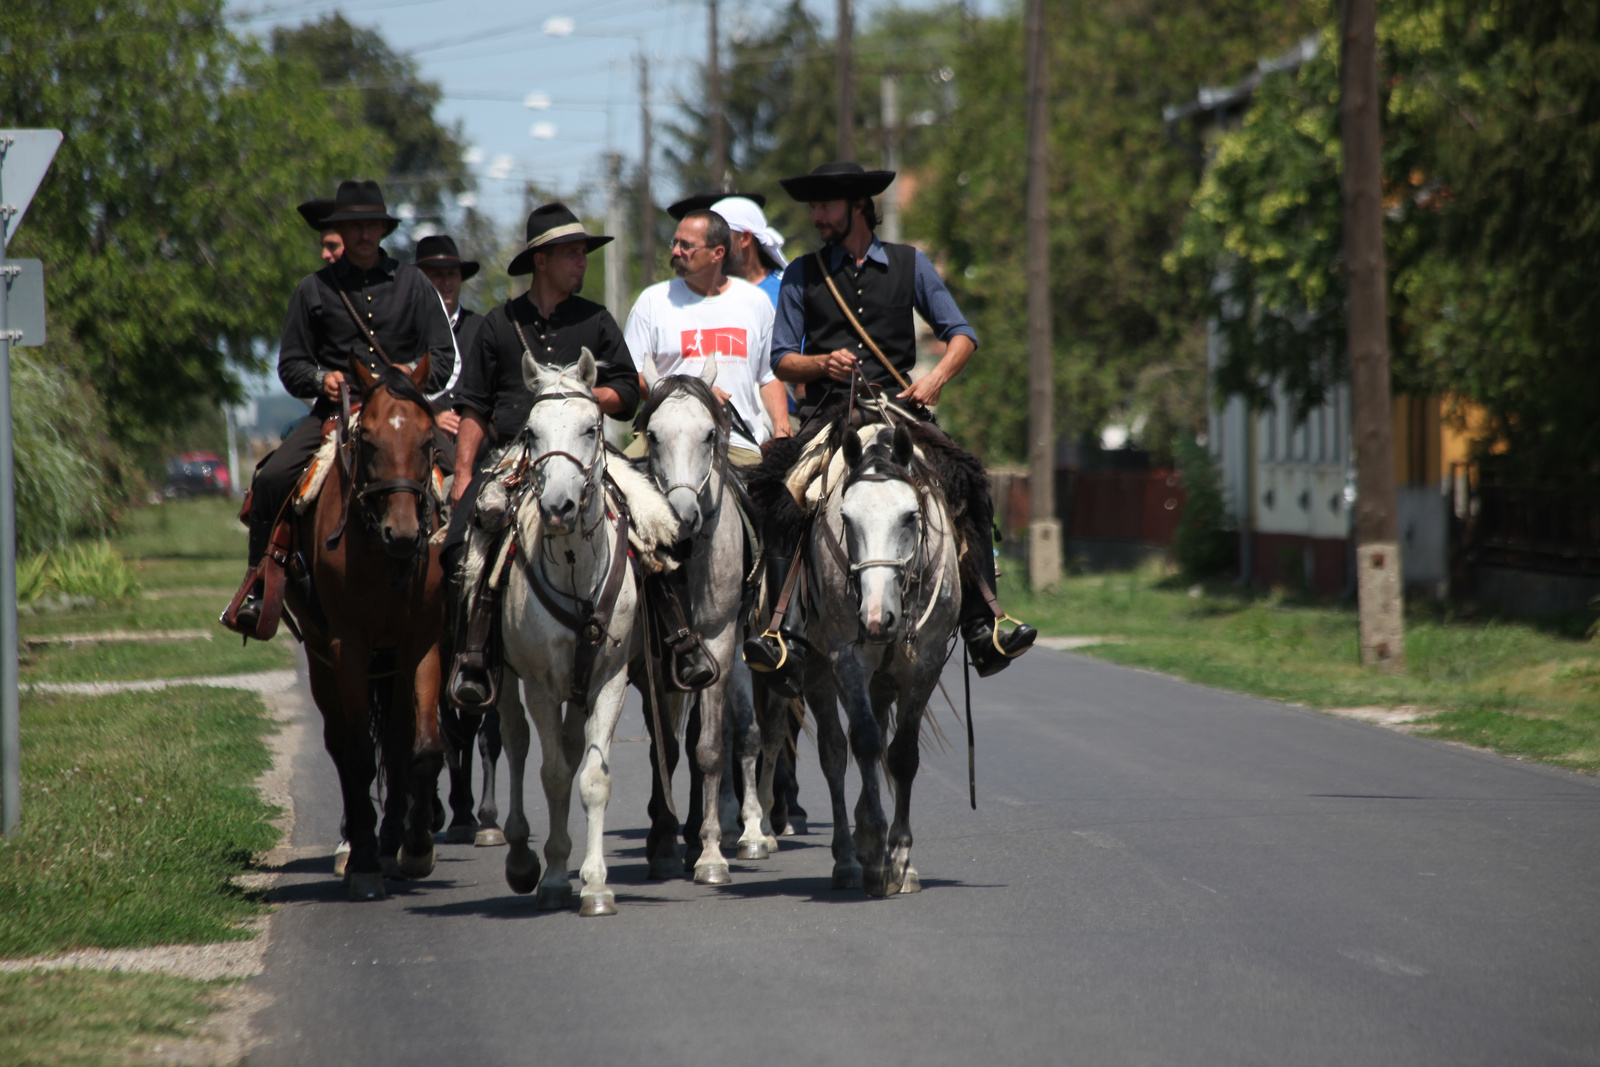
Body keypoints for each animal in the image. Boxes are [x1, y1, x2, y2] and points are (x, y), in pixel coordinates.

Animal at [288, 356, 448, 902]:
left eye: (427, 441)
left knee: (397, 741)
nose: (403, 534)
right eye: (370, 443)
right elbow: (357, 752)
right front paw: (362, 864)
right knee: (339, 743)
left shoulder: (420, 643)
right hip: (322, 661)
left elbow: (419, 749)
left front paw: (414, 848)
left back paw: (392, 838)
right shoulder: (348, 647)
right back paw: (356, 843)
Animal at [496, 351, 678, 921]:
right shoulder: (538, 685)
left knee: (572, 748)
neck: (576, 565)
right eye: (530, 432)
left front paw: (595, 886)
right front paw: (555, 878)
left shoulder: (609, 681)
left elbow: (592, 778)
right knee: (514, 741)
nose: (558, 507)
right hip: (503, 681)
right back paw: (520, 857)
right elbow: (553, 775)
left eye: (591, 427)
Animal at [806, 422, 953, 895]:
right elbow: (866, 743)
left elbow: (901, 754)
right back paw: (848, 858)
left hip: (884, 681)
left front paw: (901, 860)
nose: (875, 619)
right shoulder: (845, 660)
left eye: (909, 516)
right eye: (846, 519)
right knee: (835, 751)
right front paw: (873, 850)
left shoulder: (925, 664)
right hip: (817, 670)